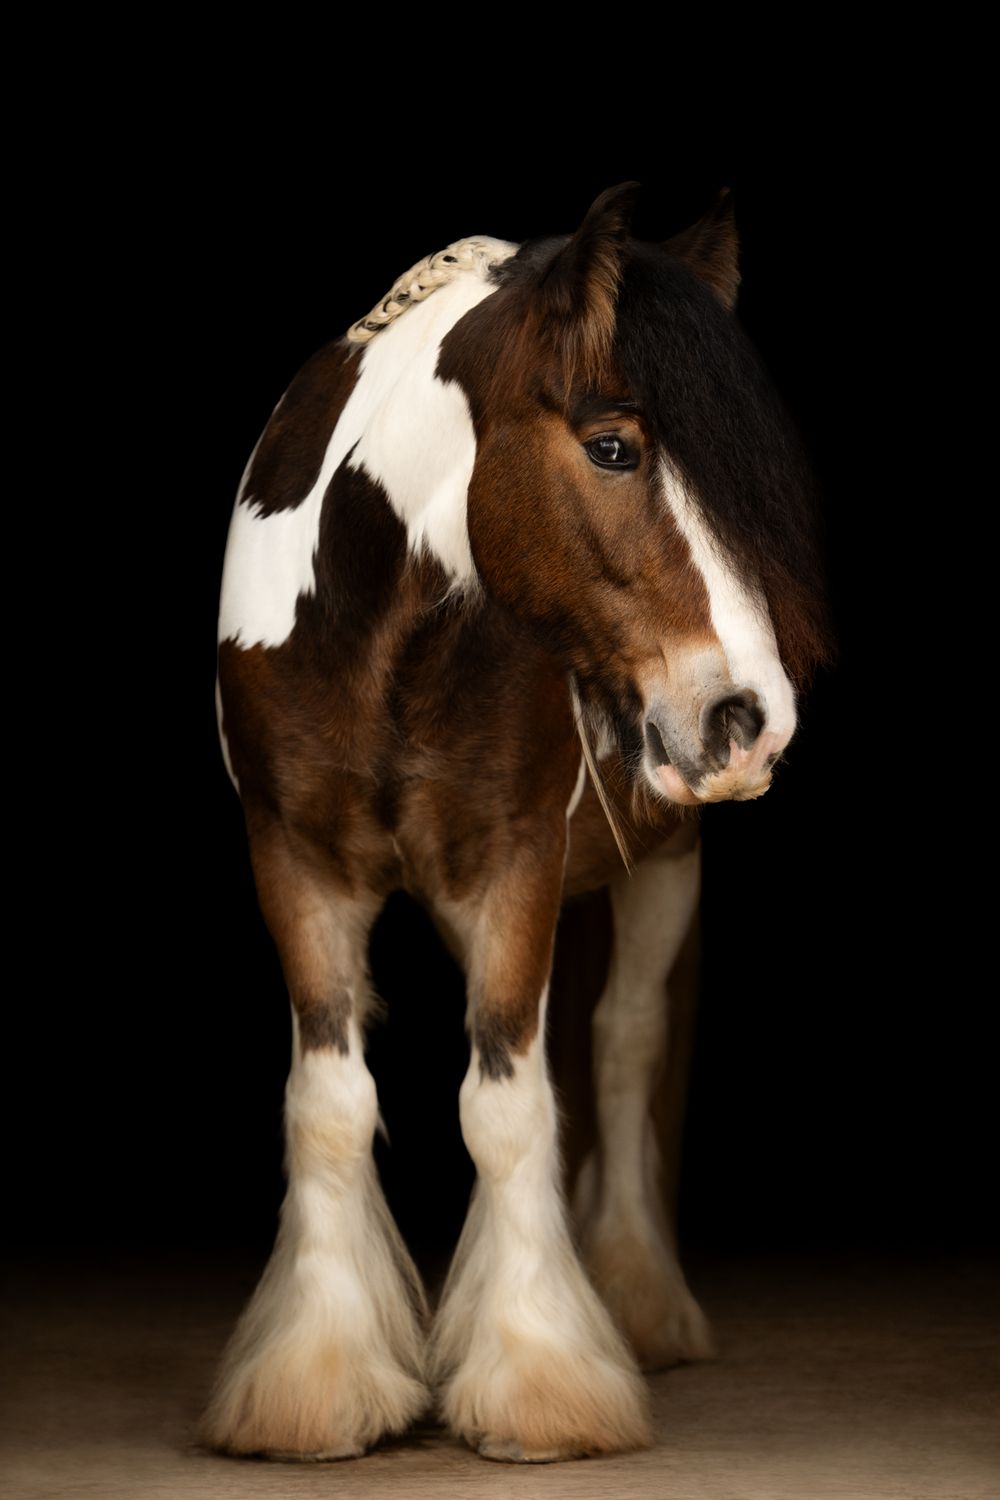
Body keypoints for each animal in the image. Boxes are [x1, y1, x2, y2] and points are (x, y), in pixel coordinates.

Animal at [205, 181, 829, 1464]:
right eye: (612, 447)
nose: (752, 721)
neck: (375, 628)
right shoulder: (293, 861)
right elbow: (331, 1106)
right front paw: (315, 1388)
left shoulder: (516, 866)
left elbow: (505, 1108)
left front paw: (540, 1383)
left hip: (662, 864)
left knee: (625, 1044)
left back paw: (636, 1300)